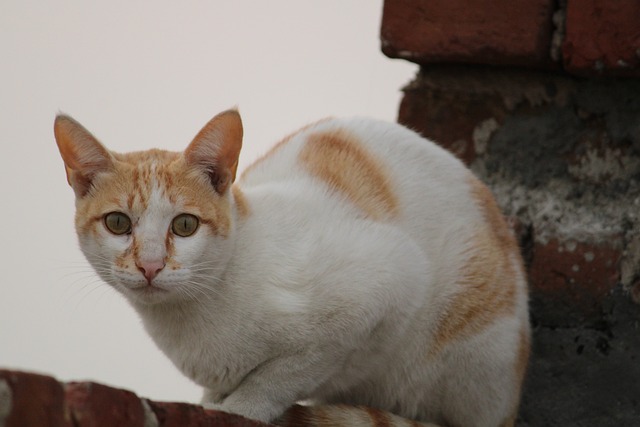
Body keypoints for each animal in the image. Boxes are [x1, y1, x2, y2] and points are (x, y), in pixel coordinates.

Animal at [53, 111, 528, 427]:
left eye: (184, 225)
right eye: (118, 223)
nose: (150, 265)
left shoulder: (383, 288)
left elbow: (281, 375)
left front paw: (242, 408)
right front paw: (213, 401)